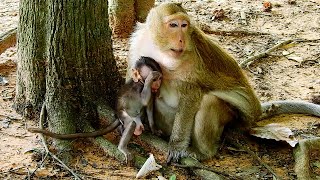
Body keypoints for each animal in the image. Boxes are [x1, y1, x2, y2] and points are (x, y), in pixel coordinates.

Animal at [128, 2, 320, 162]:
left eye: (184, 25)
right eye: (173, 25)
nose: (182, 39)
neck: (160, 50)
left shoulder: (192, 58)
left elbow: (192, 94)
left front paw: (176, 146)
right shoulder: (138, 43)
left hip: (232, 119)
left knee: (208, 102)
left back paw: (203, 152)